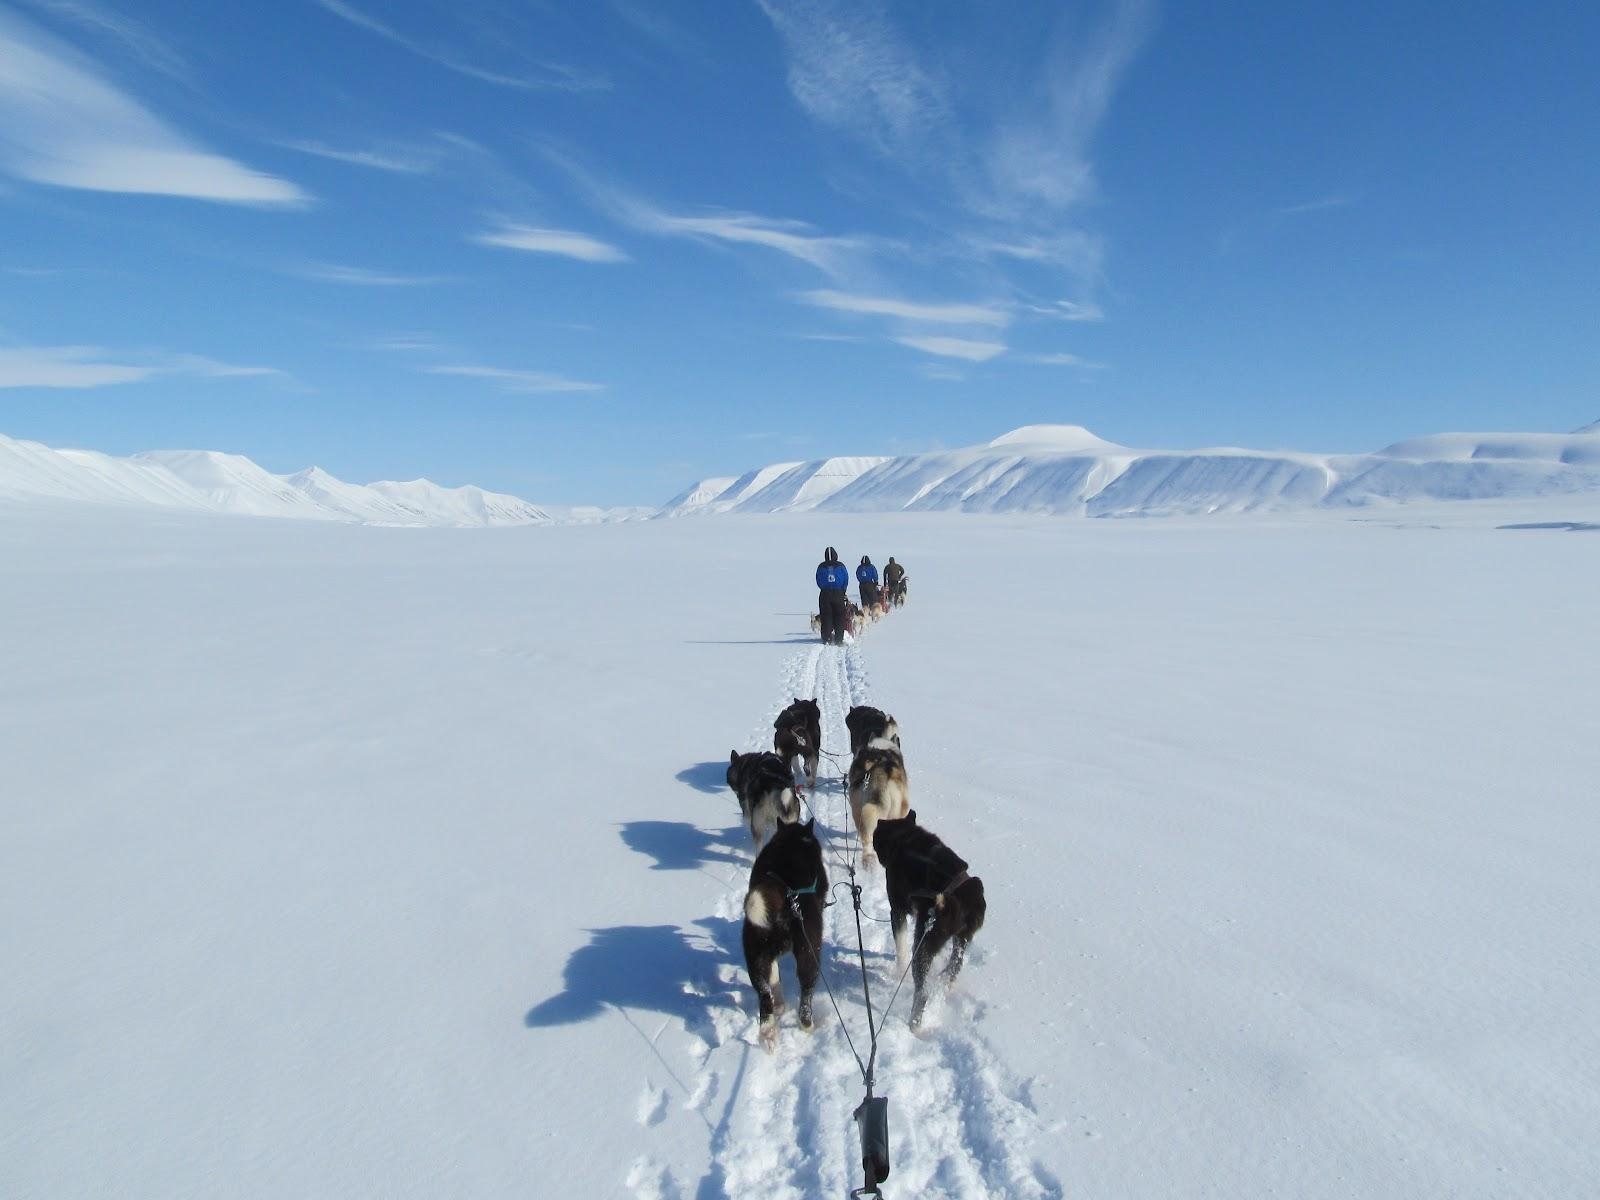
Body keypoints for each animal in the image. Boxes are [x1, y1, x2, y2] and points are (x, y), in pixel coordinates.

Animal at [742, 819, 832, 1049]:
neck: (792, 839)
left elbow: (775, 978)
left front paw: (780, 1004)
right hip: (809, 952)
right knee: (806, 996)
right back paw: (808, 1026)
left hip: (756, 958)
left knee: (764, 995)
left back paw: (768, 1034)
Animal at [870, 812, 979, 1030]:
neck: (904, 839)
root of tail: (956, 903)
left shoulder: (897, 911)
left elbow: (900, 949)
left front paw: (898, 972)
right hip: (961, 941)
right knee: (953, 969)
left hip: (923, 946)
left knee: (922, 993)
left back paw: (914, 1024)